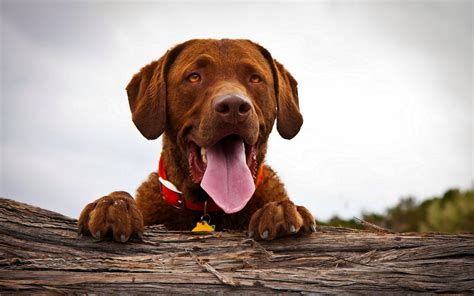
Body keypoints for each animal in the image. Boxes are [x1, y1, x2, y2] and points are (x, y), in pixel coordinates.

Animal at [77, 39, 314, 242]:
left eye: (255, 78)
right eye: (194, 77)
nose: (234, 106)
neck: (209, 206)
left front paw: (279, 209)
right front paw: (113, 205)